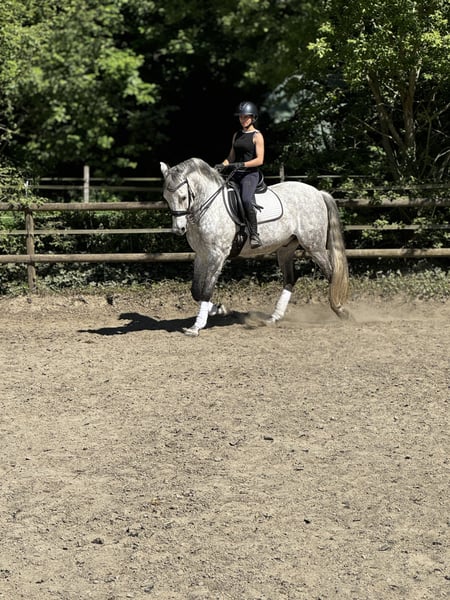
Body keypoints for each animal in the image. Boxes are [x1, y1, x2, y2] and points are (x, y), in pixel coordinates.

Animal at [160, 157, 349, 336]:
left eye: (183, 197)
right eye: (166, 198)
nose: (178, 229)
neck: (208, 207)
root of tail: (317, 192)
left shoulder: (217, 256)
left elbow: (206, 290)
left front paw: (196, 327)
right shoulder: (201, 255)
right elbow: (195, 291)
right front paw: (222, 309)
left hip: (314, 245)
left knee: (331, 273)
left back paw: (341, 311)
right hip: (286, 249)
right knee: (290, 278)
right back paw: (274, 318)